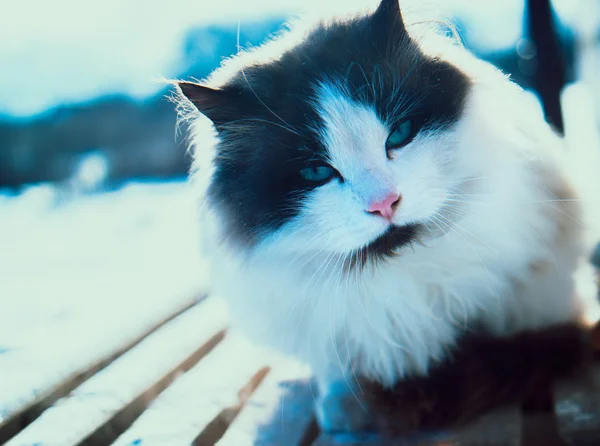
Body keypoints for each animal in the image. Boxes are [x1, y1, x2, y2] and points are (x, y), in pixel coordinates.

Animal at [175, 0, 600, 434]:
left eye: (399, 134)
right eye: (317, 172)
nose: (384, 203)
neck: (402, 282)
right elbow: (343, 373)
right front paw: (345, 409)